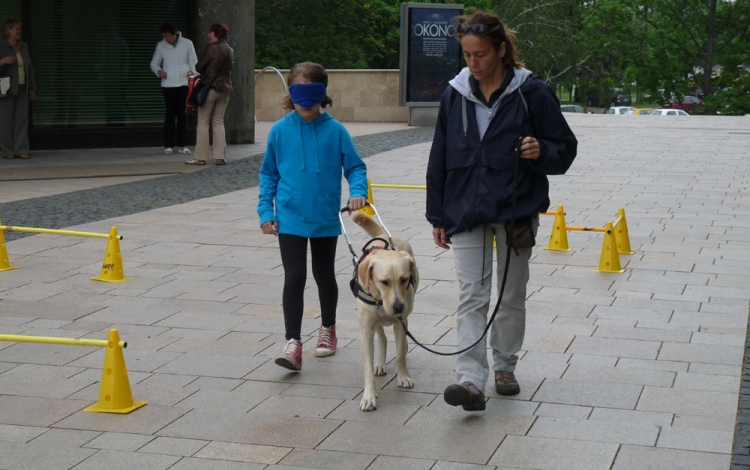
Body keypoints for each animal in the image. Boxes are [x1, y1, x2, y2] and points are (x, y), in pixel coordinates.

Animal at [352, 211, 420, 410]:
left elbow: (399, 356)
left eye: (404, 279)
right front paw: (369, 396)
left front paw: (403, 377)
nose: (398, 306)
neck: (381, 300)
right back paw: (380, 363)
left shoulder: (399, 322)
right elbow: (367, 367)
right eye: (384, 282)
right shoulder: (366, 330)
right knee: (381, 336)